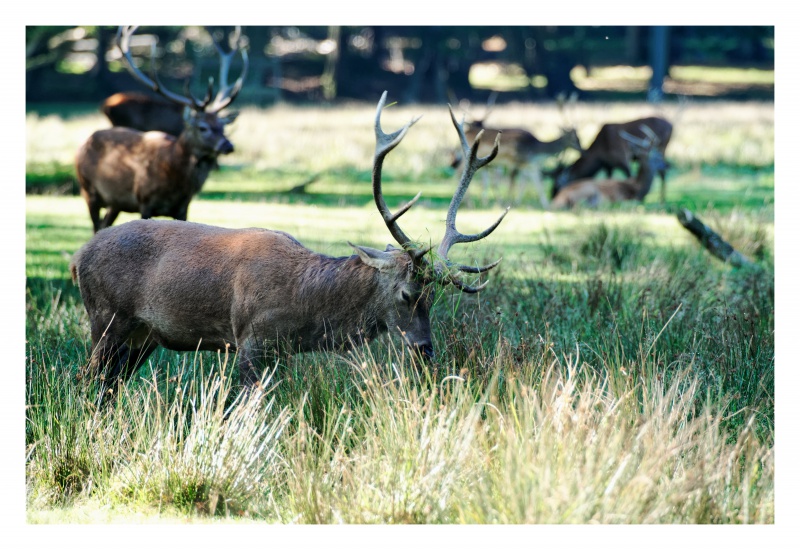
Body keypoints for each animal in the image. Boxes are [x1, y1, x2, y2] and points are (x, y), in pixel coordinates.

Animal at [69, 91, 506, 392]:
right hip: (106, 317)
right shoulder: (250, 339)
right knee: (88, 380)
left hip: (142, 336)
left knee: (109, 387)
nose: (425, 350)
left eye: (432, 297)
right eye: (406, 293)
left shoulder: (281, 352)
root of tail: (76, 258)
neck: (304, 306)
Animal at [77, 26, 250, 233]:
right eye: (203, 127)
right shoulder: (144, 201)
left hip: (116, 203)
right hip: (88, 190)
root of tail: (85, 143)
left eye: (222, 126)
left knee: (105, 224)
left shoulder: (183, 208)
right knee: (96, 225)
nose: (228, 145)